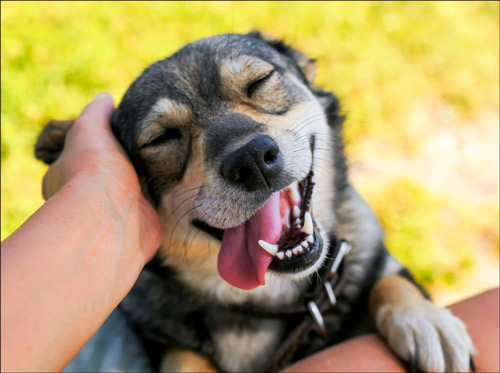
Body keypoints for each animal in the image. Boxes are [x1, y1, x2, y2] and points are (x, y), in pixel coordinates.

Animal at [36, 32, 476, 372]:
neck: (274, 299)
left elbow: (389, 281)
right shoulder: (160, 337)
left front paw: (424, 321)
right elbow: (183, 357)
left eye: (260, 81)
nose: (250, 160)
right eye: (162, 138)